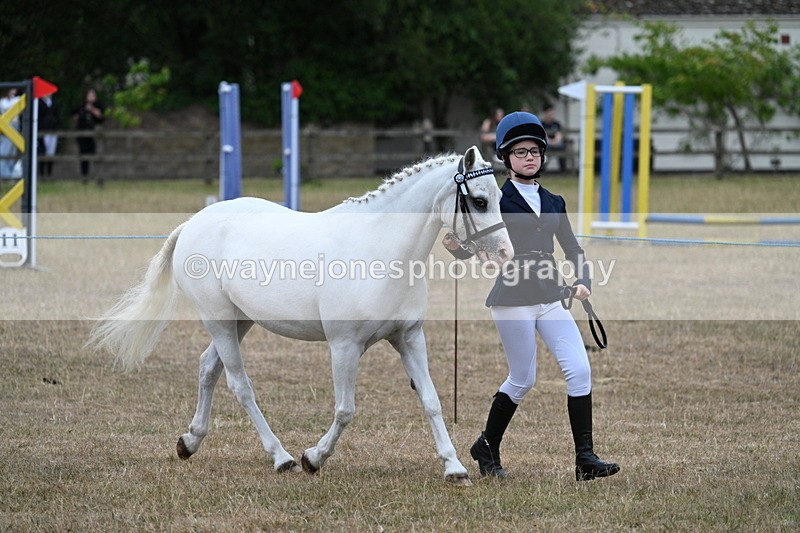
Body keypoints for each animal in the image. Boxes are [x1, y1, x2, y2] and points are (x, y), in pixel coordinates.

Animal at [88, 145, 513, 484]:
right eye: (479, 200)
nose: (506, 254)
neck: (381, 250)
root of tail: (194, 223)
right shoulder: (344, 346)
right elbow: (345, 410)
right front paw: (314, 458)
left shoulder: (408, 338)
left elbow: (430, 399)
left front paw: (454, 467)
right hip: (219, 320)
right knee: (240, 385)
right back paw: (282, 457)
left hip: (239, 322)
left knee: (208, 368)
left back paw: (190, 442)